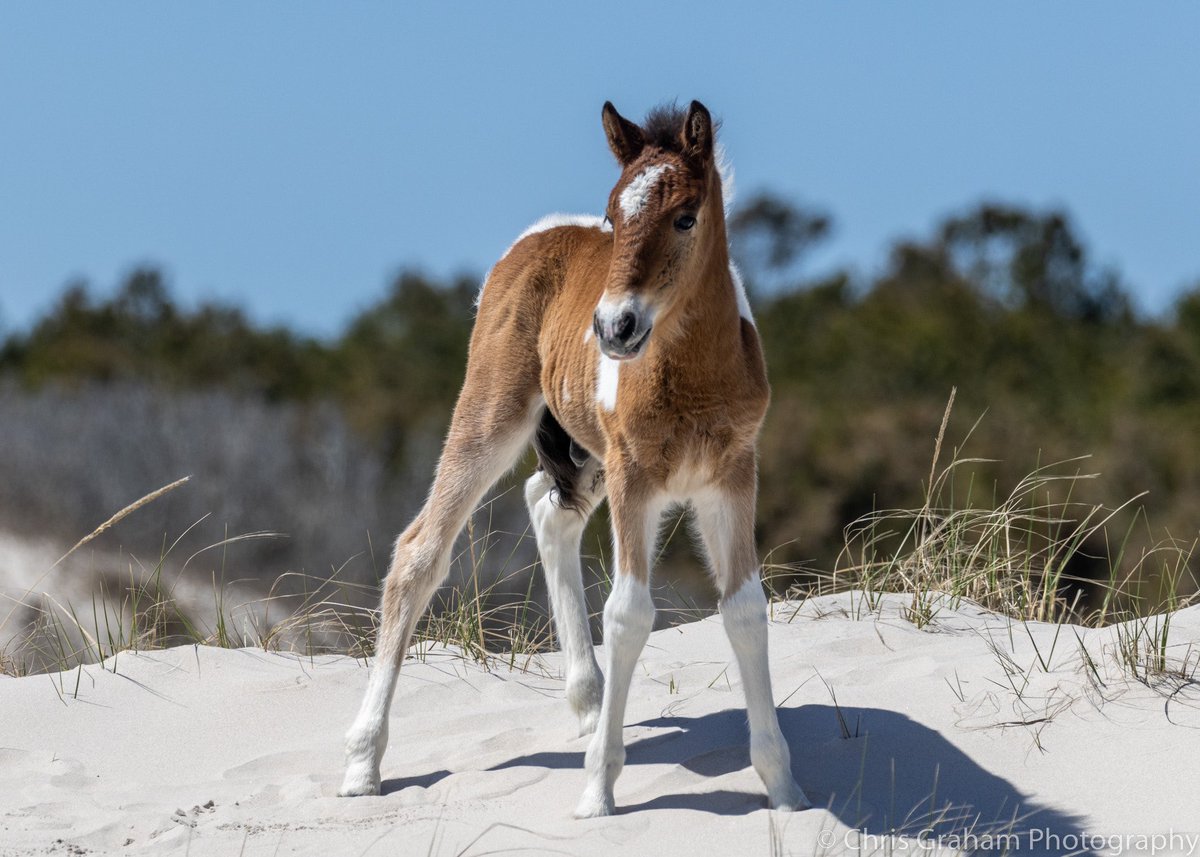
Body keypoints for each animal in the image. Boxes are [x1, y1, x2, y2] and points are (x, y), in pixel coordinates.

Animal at [338, 98, 811, 816]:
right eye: (614, 216)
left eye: (686, 215)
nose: (614, 327)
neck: (694, 373)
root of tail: (538, 236)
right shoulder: (635, 477)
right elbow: (629, 613)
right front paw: (598, 793)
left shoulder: (732, 476)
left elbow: (745, 611)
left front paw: (785, 790)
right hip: (495, 410)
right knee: (420, 552)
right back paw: (364, 764)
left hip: (586, 455)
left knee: (548, 510)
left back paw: (590, 705)